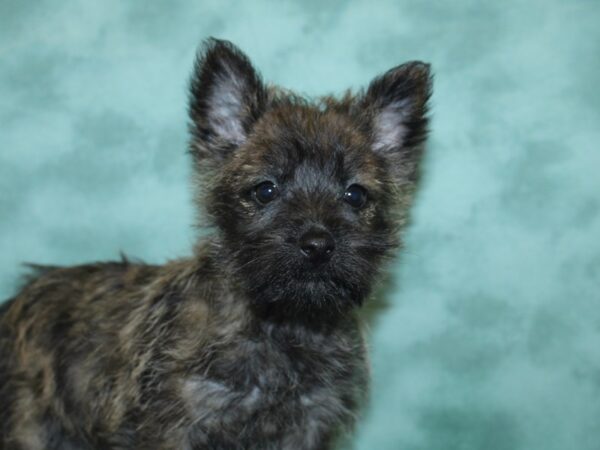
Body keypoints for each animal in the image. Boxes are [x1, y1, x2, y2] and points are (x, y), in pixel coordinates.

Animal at [0, 39, 432, 450]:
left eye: (355, 195)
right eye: (265, 190)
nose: (317, 244)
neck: (283, 326)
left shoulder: (308, 424)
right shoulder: (175, 424)